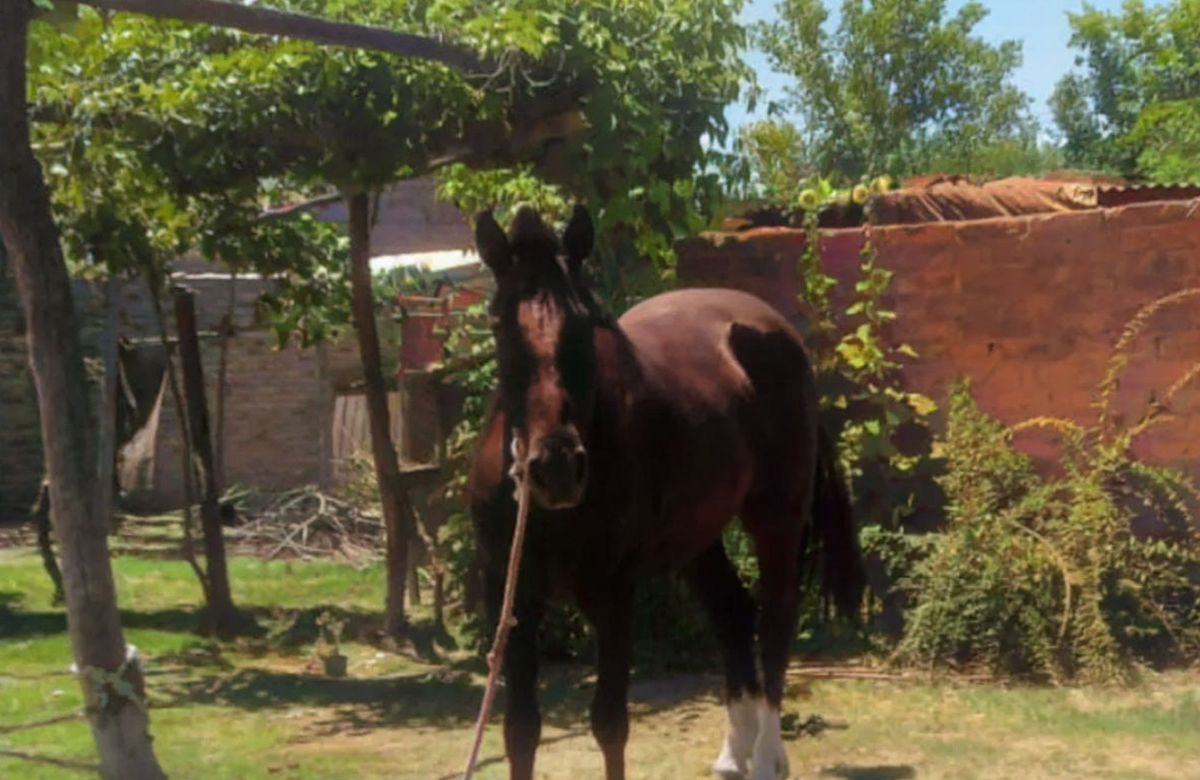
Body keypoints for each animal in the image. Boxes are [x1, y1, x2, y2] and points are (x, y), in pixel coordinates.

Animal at [468, 205, 865, 780]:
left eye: (584, 323)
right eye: (500, 324)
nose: (557, 468)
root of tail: (773, 329)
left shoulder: (613, 595)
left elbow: (609, 724)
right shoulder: (514, 597)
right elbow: (520, 731)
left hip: (776, 517)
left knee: (776, 621)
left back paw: (767, 757)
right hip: (697, 539)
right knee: (732, 615)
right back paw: (734, 754)